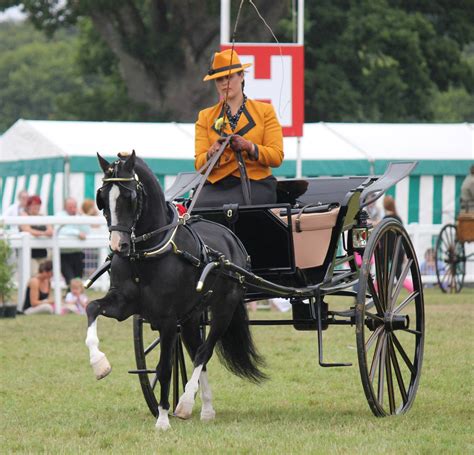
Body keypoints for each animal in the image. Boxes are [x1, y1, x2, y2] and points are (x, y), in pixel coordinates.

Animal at [85, 151, 266, 430]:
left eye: (129, 196)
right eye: (102, 197)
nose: (118, 246)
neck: (145, 253)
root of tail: (231, 239)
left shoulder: (168, 320)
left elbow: (164, 367)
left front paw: (162, 419)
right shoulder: (123, 305)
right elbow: (91, 308)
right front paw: (99, 363)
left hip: (224, 308)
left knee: (204, 351)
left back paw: (186, 403)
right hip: (191, 317)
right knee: (196, 353)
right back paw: (205, 409)